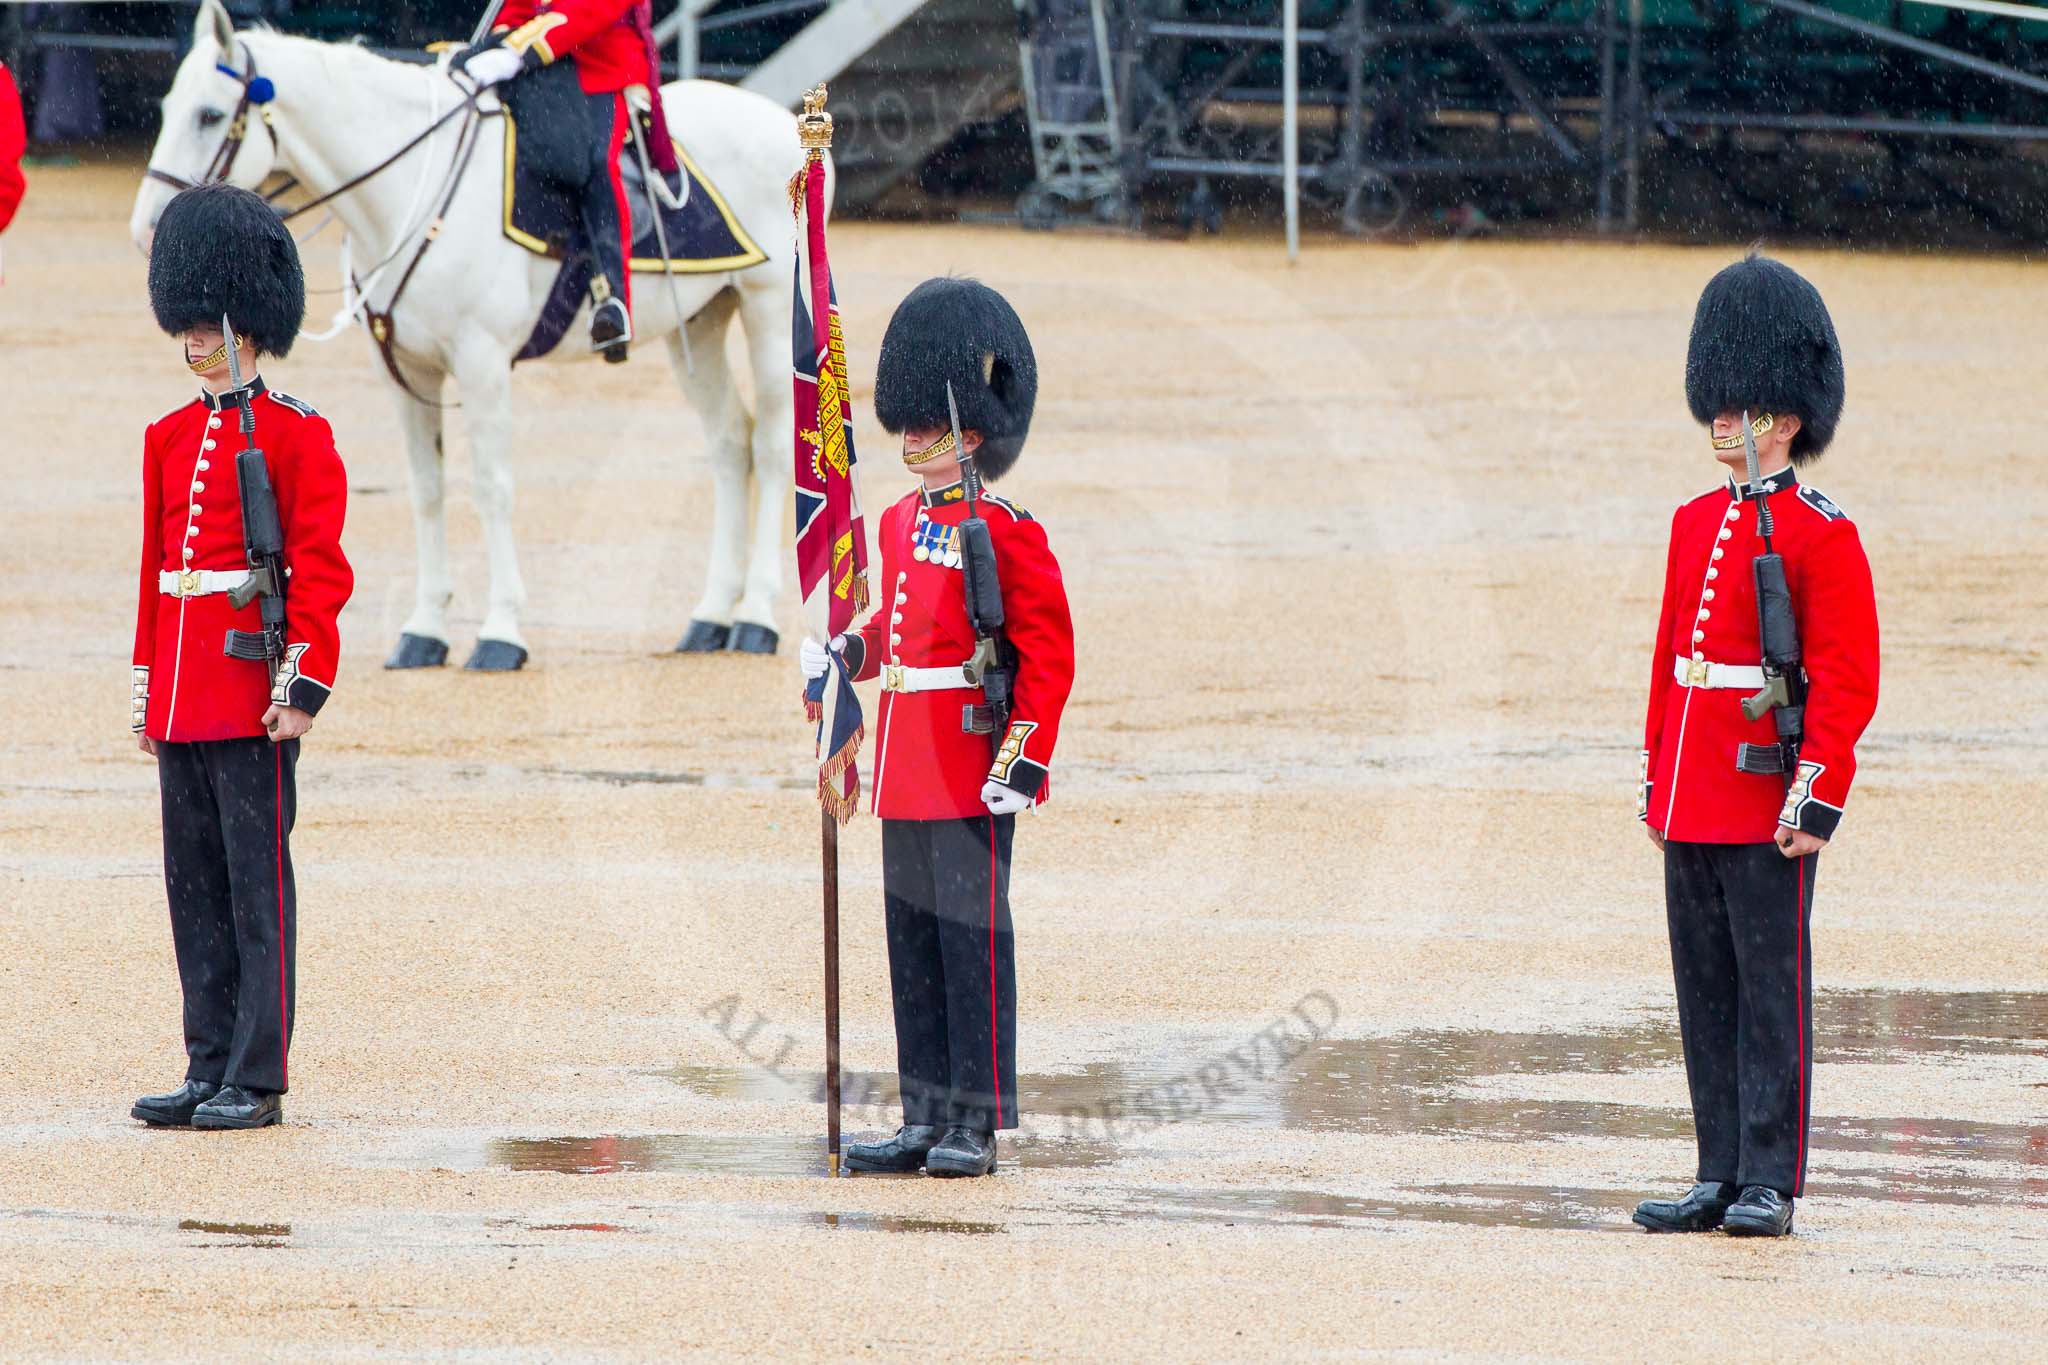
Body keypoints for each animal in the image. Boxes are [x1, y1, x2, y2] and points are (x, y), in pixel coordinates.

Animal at [130, 0, 817, 669]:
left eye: (209, 114)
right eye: (165, 108)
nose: (150, 233)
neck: (408, 191)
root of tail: (781, 122)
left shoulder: (482, 362)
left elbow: (491, 488)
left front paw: (501, 631)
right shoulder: (406, 371)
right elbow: (428, 491)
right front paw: (425, 630)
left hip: (767, 310)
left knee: (773, 447)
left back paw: (756, 617)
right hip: (697, 326)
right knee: (730, 444)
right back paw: (712, 616)